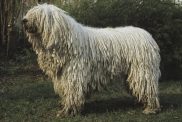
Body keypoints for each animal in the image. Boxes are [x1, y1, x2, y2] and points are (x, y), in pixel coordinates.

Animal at [22, 3, 161, 116]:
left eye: (38, 15)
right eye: (30, 12)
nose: (24, 20)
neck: (66, 41)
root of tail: (148, 36)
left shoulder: (74, 74)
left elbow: (72, 92)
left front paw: (68, 111)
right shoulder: (62, 76)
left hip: (142, 70)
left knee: (148, 88)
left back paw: (150, 108)